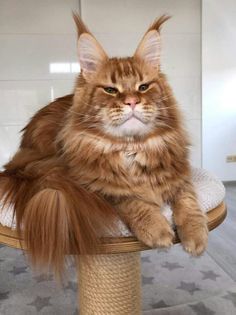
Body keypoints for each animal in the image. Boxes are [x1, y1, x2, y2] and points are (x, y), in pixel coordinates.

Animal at [0, 14, 207, 276]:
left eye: (143, 87)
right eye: (110, 90)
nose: (132, 101)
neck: (131, 149)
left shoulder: (179, 176)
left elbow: (189, 203)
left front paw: (196, 237)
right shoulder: (95, 187)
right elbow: (132, 201)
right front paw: (158, 230)